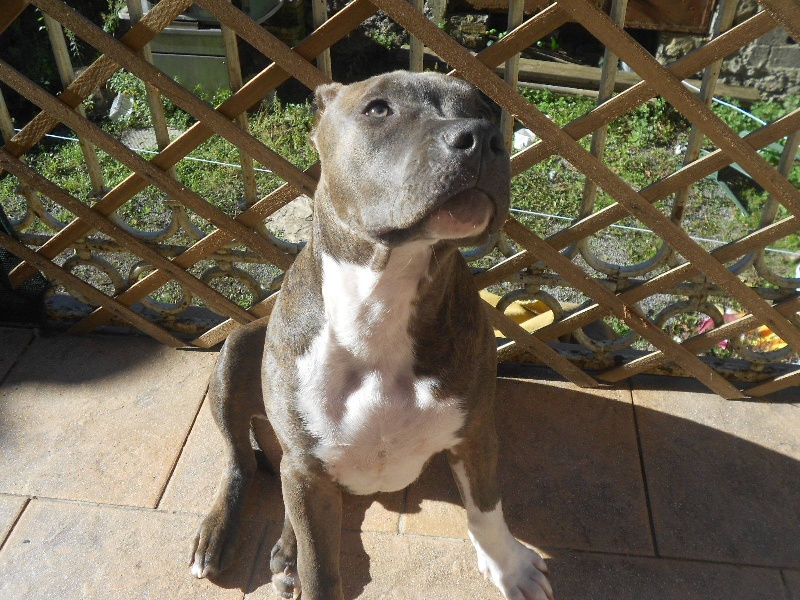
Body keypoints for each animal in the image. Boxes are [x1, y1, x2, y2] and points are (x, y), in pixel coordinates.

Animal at [189, 70, 553, 600]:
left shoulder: (475, 431)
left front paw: (510, 567)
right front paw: (307, 565)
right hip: (237, 351)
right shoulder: (307, 466)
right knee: (241, 460)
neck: (380, 301)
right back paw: (220, 534)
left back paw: (285, 552)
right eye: (378, 108)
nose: (483, 139)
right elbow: (321, 568)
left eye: (486, 111)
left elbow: (487, 509)